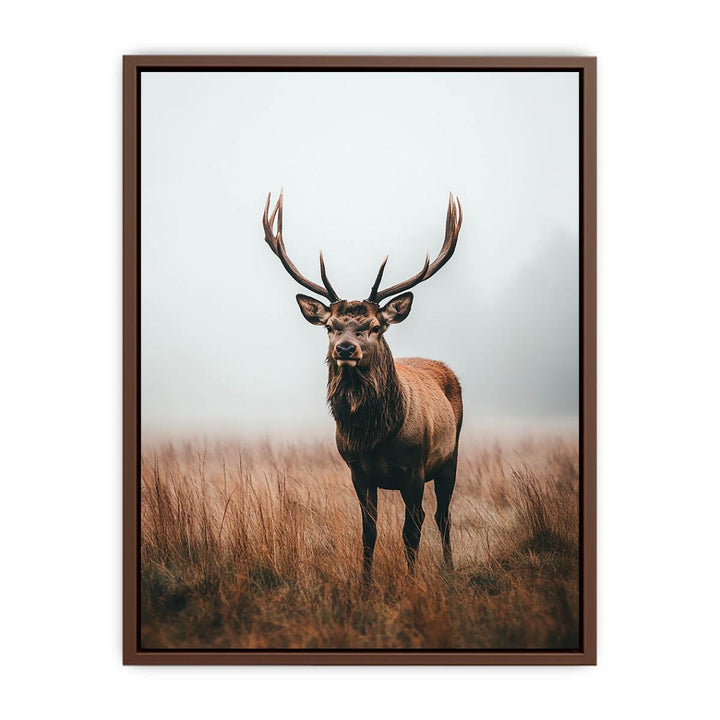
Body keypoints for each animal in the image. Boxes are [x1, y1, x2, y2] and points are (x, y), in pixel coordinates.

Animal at [262, 191, 463, 585]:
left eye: (373, 326)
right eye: (331, 326)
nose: (345, 348)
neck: (375, 437)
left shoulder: (414, 469)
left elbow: (411, 529)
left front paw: (411, 582)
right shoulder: (357, 470)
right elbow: (368, 530)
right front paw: (366, 582)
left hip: (451, 457)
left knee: (442, 516)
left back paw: (450, 568)